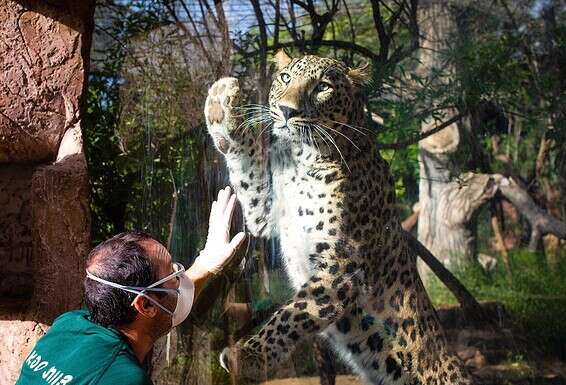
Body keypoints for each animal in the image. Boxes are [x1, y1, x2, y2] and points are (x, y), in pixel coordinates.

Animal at [204, 51, 474, 384]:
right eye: (285, 78)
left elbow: (291, 315)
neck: (303, 158)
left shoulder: (342, 266)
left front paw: (249, 356)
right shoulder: (266, 210)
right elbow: (245, 159)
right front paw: (220, 103)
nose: (287, 110)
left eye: (322, 87)